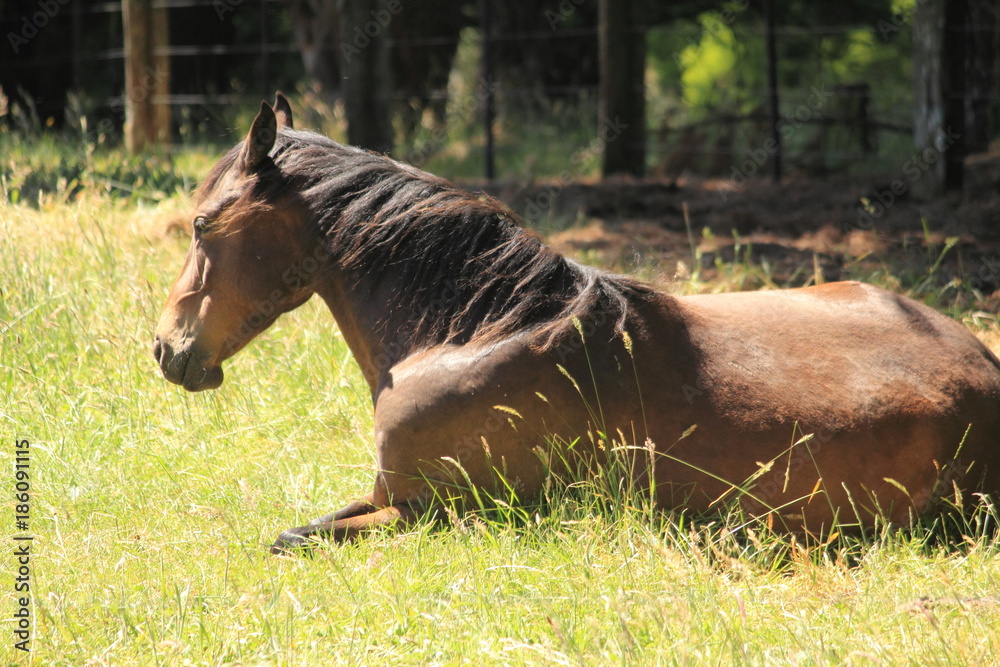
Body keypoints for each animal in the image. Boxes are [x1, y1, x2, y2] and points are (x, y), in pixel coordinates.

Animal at [153, 94, 1000, 553]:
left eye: (200, 224)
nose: (166, 349)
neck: (479, 332)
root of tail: (985, 368)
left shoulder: (436, 510)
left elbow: (293, 537)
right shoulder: (386, 492)